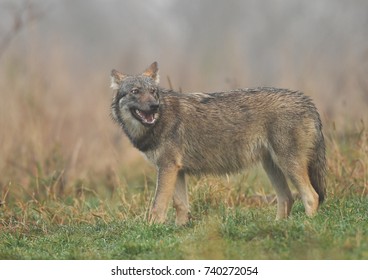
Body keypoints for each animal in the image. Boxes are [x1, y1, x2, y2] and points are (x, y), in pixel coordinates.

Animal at [108, 61, 324, 225]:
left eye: (153, 91)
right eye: (135, 91)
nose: (154, 106)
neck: (160, 120)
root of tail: (308, 102)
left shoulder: (168, 167)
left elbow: (158, 206)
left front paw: (153, 228)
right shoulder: (176, 170)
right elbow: (181, 206)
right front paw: (179, 230)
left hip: (288, 165)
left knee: (312, 196)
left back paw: (307, 226)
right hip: (272, 166)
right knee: (287, 198)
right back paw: (277, 226)